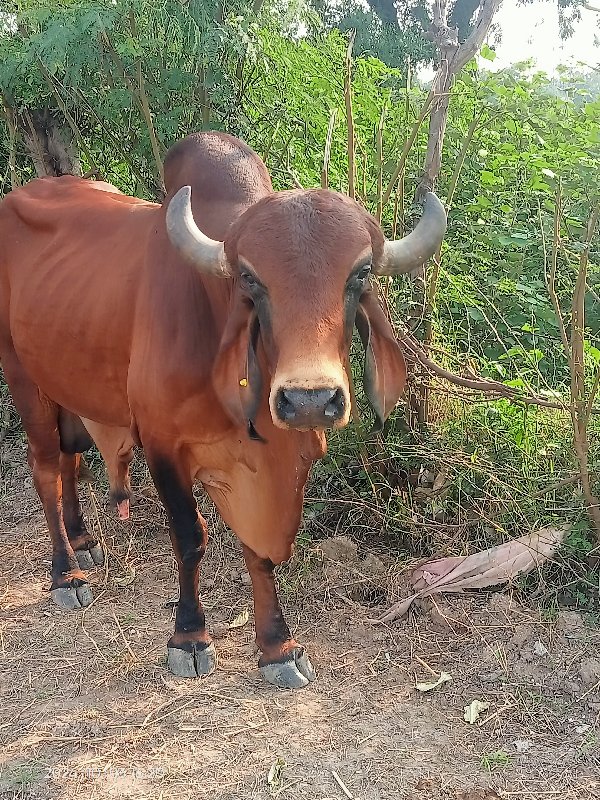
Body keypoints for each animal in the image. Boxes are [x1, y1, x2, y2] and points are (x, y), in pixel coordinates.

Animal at [1, 131, 446, 688]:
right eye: (250, 279)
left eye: (360, 273)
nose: (309, 399)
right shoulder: (162, 444)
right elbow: (191, 536)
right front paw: (189, 637)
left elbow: (258, 550)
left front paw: (277, 646)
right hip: (23, 377)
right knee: (44, 467)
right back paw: (66, 573)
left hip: (67, 385)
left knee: (68, 458)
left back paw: (83, 541)